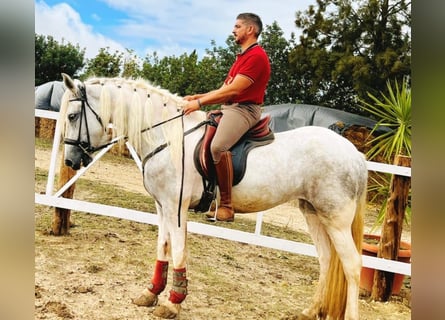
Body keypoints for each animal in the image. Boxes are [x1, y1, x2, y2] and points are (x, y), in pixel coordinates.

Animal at [59, 74, 364, 318]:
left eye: (72, 117)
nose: (71, 161)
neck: (167, 137)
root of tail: (355, 153)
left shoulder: (176, 207)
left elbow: (178, 250)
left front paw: (173, 303)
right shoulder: (161, 206)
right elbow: (162, 247)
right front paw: (151, 293)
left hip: (335, 219)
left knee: (352, 265)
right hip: (312, 212)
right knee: (326, 260)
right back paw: (310, 311)